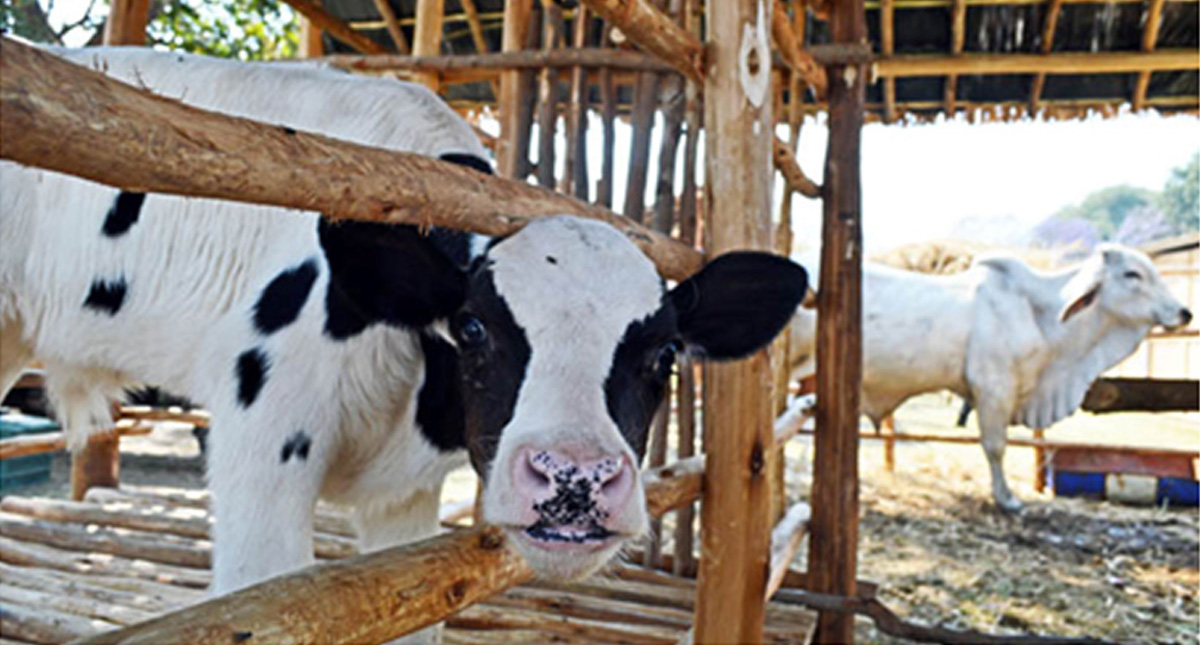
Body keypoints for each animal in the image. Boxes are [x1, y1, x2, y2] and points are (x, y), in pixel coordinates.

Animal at [788, 245, 1191, 512]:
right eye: (1132, 274)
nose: (1184, 312)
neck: (1039, 313)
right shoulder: (993, 389)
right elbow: (996, 447)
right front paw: (1007, 499)